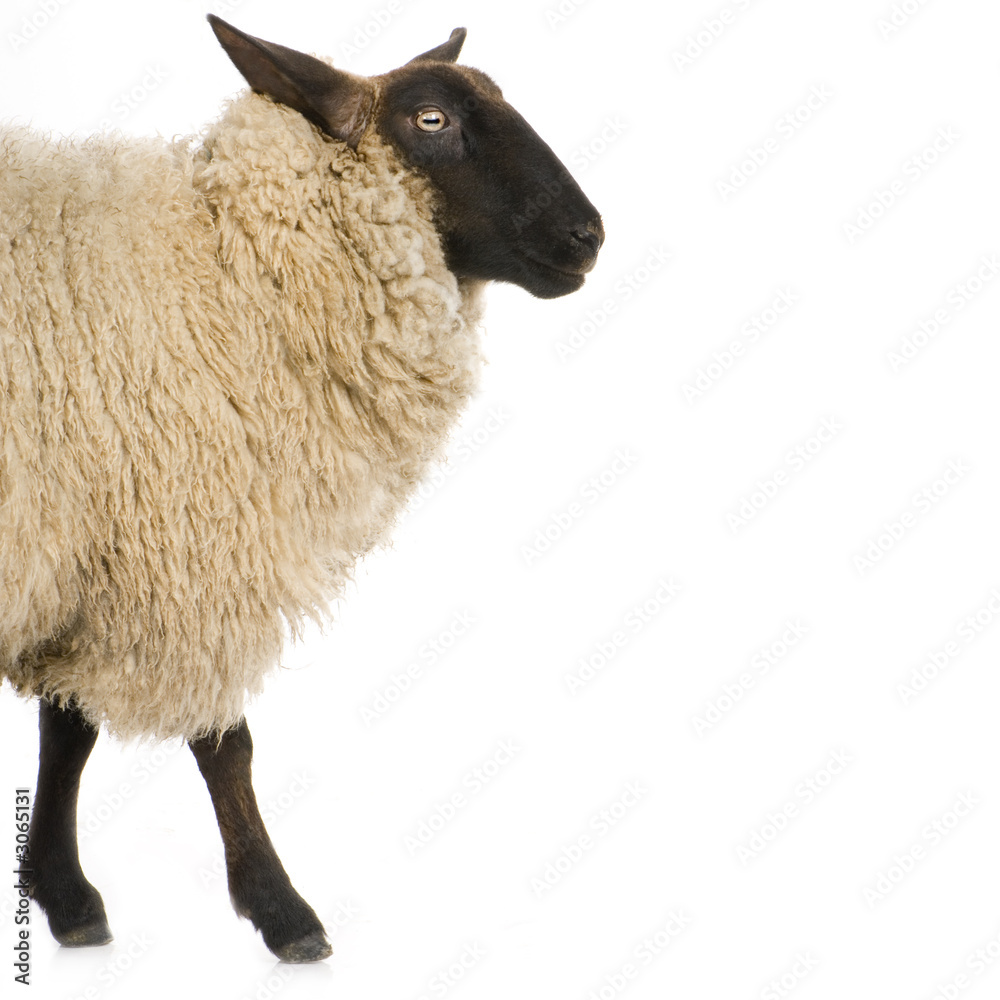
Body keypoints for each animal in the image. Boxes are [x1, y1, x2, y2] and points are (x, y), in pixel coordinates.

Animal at [1, 16, 603, 962]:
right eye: (431, 119)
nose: (588, 236)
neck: (223, 277)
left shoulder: (97, 548)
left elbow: (69, 728)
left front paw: (60, 893)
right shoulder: (184, 547)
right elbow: (223, 741)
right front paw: (282, 910)